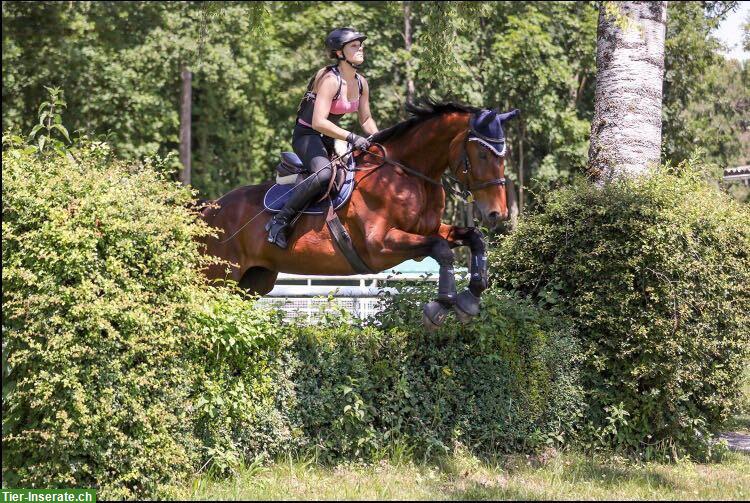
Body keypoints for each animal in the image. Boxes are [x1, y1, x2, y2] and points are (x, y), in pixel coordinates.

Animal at [197, 101, 520, 330]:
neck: (408, 174)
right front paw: (440, 306)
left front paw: (470, 298)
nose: (497, 213)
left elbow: (473, 239)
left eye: (504, 156)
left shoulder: (428, 231)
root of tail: (209, 210)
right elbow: (442, 249)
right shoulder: (379, 248)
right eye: (482, 155)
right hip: (214, 279)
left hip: (253, 282)